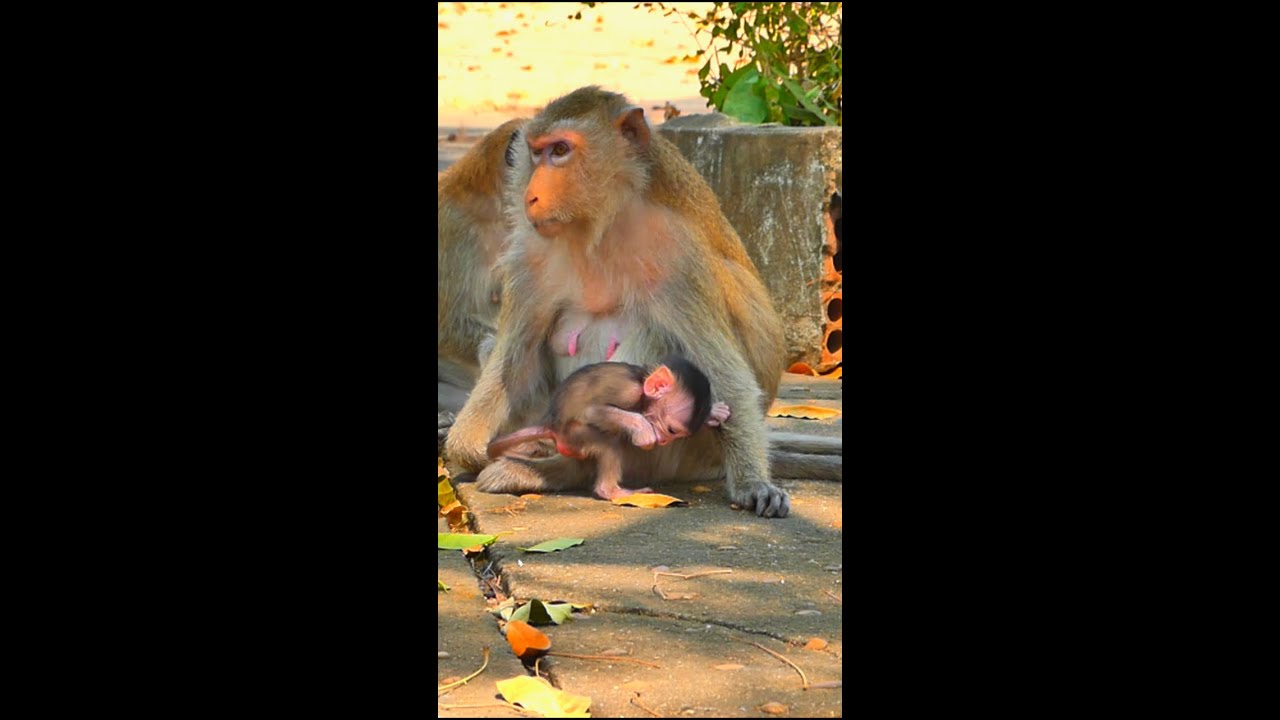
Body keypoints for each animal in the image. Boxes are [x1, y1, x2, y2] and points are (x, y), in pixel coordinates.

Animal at [486, 357, 732, 500]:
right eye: (671, 430)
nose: (663, 440)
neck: (641, 387)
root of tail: (552, 424)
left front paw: (714, 412)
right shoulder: (628, 392)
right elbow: (592, 411)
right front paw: (643, 430)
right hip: (573, 436)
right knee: (606, 443)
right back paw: (612, 491)